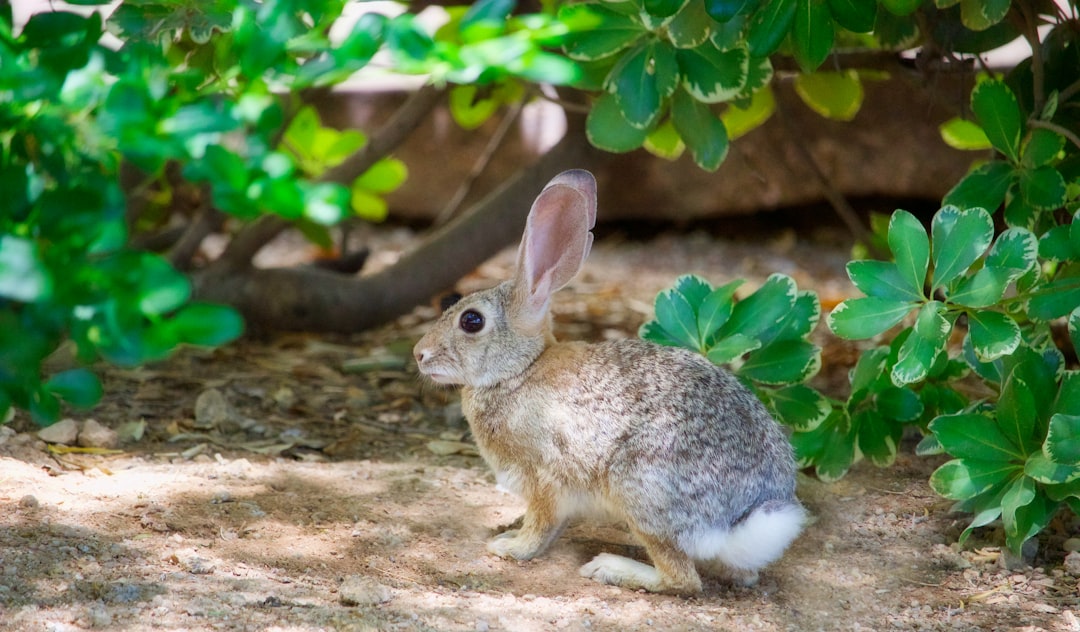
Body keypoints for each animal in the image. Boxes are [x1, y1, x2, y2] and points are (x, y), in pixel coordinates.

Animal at [413, 169, 805, 595]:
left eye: (471, 321)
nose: (419, 353)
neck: (520, 370)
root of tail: (746, 519)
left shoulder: (545, 477)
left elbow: (541, 522)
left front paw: (510, 547)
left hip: (639, 489)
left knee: (682, 579)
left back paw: (611, 568)